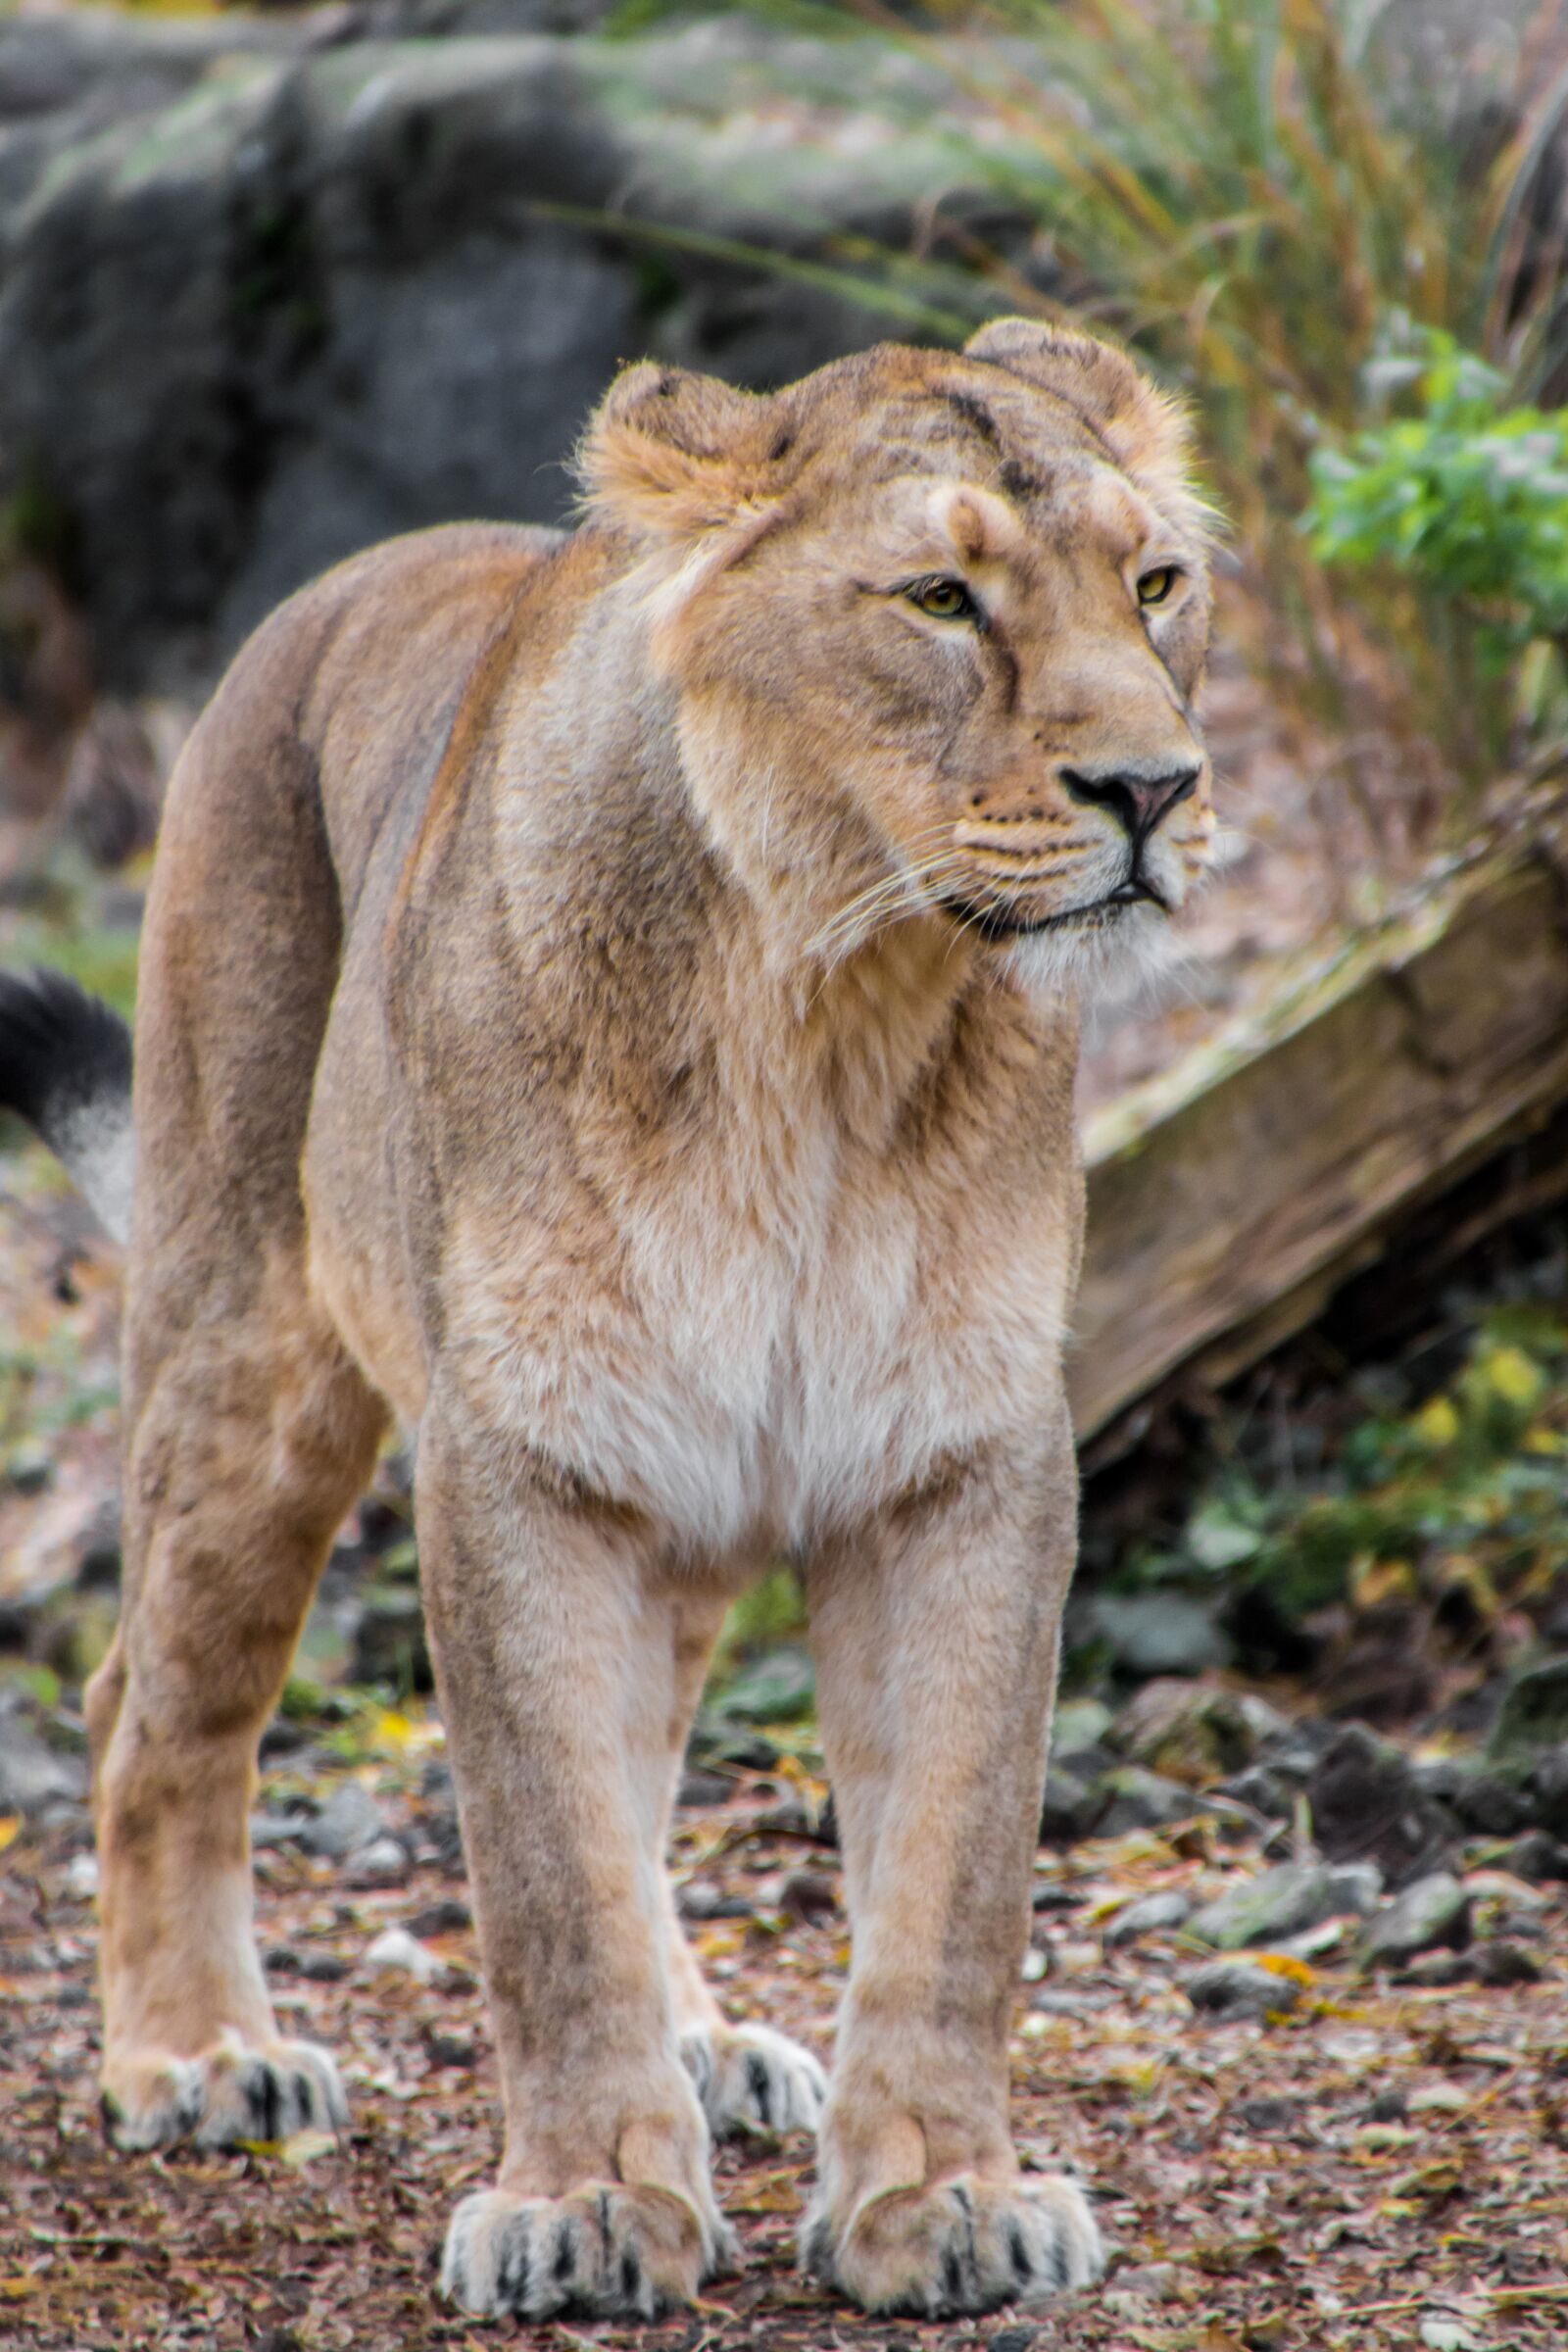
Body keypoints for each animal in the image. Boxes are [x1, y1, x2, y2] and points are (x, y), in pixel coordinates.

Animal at [0, 320, 1216, 2322]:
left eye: (1158, 583)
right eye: (941, 599)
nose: (1159, 792)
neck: (829, 1003)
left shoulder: (960, 1459)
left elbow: (951, 1869)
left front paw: (942, 2195)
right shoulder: (521, 1459)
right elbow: (547, 1873)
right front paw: (581, 2203)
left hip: (680, 1487)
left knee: (643, 1773)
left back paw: (709, 2049)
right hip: (250, 1343)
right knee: (151, 1701)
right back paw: (195, 2057)